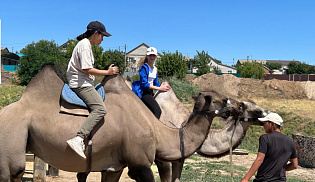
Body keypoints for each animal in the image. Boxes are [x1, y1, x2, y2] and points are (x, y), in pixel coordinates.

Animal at [0, 63, 236, 181]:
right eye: (221, 99)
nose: (236, 108)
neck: (158, 131)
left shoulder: (113, 167)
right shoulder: (139, 164)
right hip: (12, 137)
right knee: (13, 170)